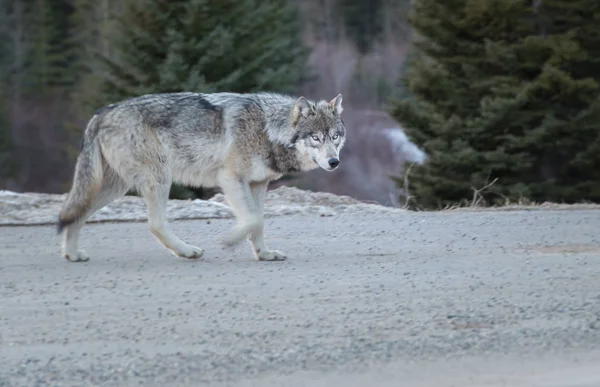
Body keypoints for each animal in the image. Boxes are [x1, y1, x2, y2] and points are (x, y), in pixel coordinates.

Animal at [57, 90, 346, 264]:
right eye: (316, 138)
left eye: (334, 137)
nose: (334, 162)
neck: (267, 129)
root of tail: (102, 113)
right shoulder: (230, 179)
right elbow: (251, 219)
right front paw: (230, 240)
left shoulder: (258, 184)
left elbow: (258, 223)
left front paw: (264, 254)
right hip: (159, 178)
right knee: (155, 224)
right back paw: (187, 251)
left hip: (114, 187)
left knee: (77, 213)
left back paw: (71, 254)